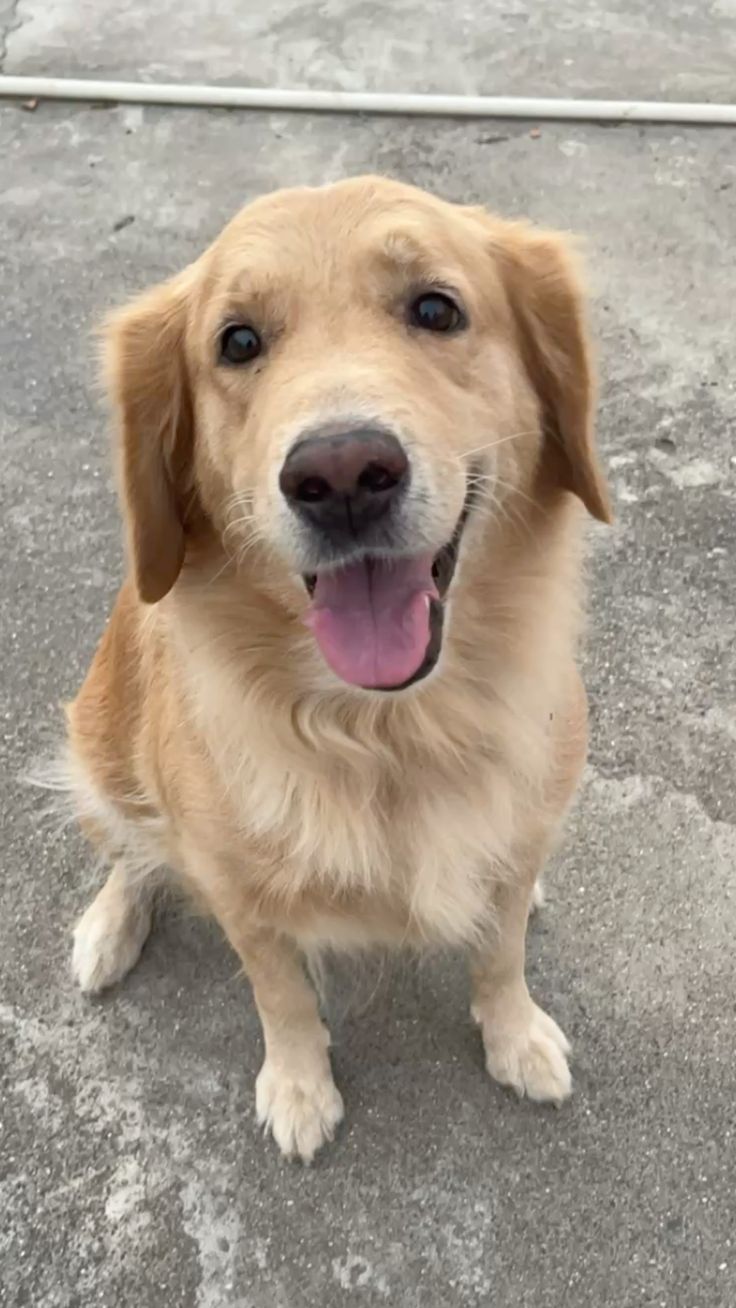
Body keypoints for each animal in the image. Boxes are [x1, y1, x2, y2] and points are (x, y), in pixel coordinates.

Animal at [64, 175, 611, 1161]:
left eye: (436, 308)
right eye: (237, 341)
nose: (343, 473)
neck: (391, 729)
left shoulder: (519, 831)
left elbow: (502, 947)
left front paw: (515, 1036)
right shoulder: (240, 892)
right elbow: (278, 990)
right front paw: (298, 1086)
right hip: (100, 743)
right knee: (128, 850)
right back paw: (108, 929)